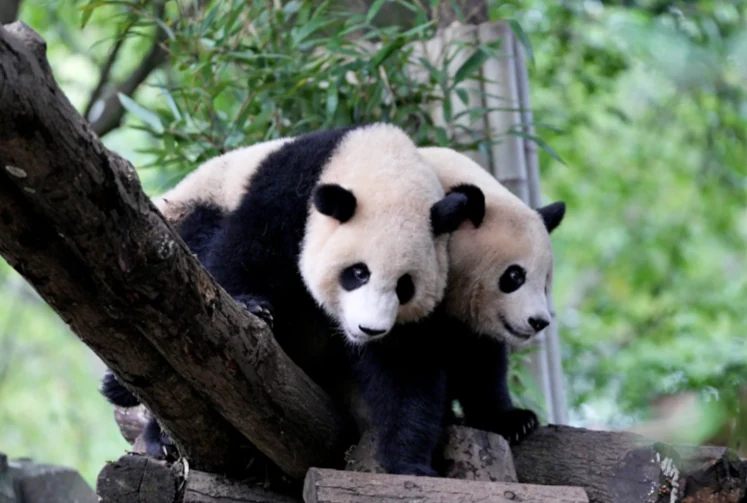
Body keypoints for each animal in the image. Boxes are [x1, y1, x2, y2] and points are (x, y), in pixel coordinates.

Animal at [100, 123, 484, 461]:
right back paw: (155, 432)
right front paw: (252, 306)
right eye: (358, 273)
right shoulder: (291, 186)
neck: (377, 158)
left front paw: (407, 459)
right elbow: (243, 251)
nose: (369, 330)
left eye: (405, 287)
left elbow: (407, 361)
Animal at [347, 146, 566, 476]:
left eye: (546, 283)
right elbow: (405, 366)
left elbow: (480, 361)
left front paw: (512, 420)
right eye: (514, 276)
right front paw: (409, 457)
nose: (538, 322)